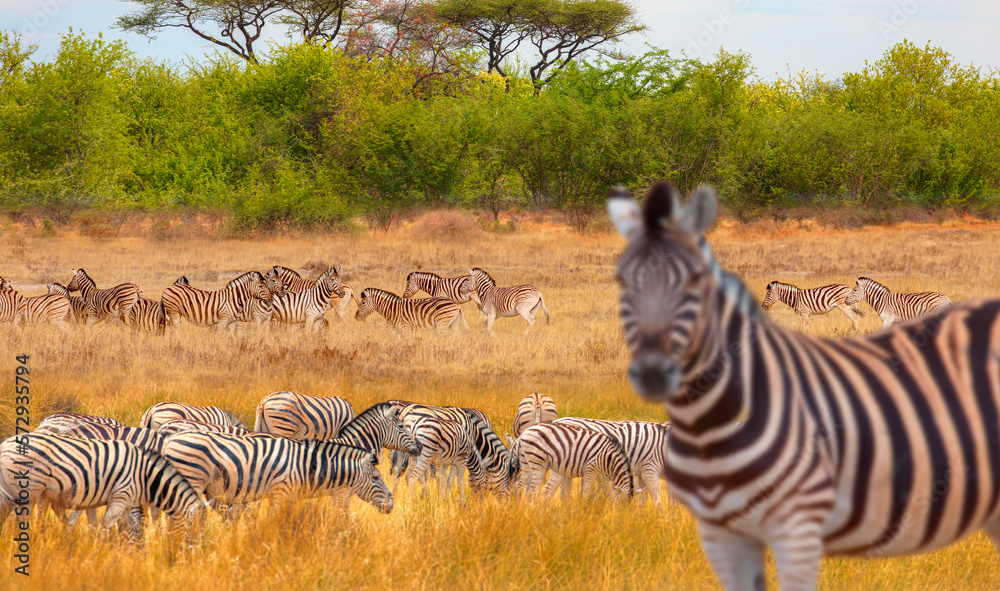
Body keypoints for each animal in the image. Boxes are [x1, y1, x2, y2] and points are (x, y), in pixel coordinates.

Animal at [0, 433, 204, 539]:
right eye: (193, 528)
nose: (194, 551)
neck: (144, 476)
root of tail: (4, 445)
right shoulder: (120, 497)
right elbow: (107, 525)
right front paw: (101, 549)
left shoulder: (126, 503)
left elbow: (124, 526)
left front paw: (125, 549)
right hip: (29, 491)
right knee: (20, 520)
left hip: (11, 491)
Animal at [161, 432, 393, 513]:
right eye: (376, 478)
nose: (392, 502)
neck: (306, 467)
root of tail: (171, 439)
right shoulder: (280, 492)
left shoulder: (285, 496)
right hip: (190, 479)